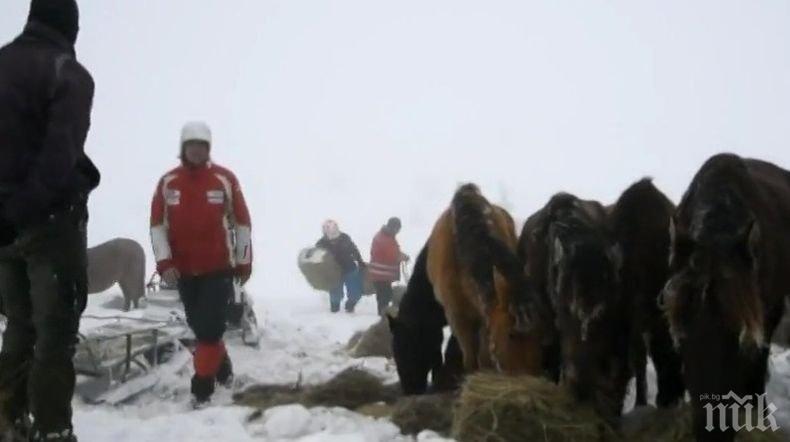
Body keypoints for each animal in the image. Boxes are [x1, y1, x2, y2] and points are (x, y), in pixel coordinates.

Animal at [426, 183, 544, 372]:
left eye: (540, 334)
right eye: (511, 335)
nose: (530, 376)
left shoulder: (484, 314)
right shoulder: (457, 317)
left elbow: (484, 356)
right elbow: (470, 357)